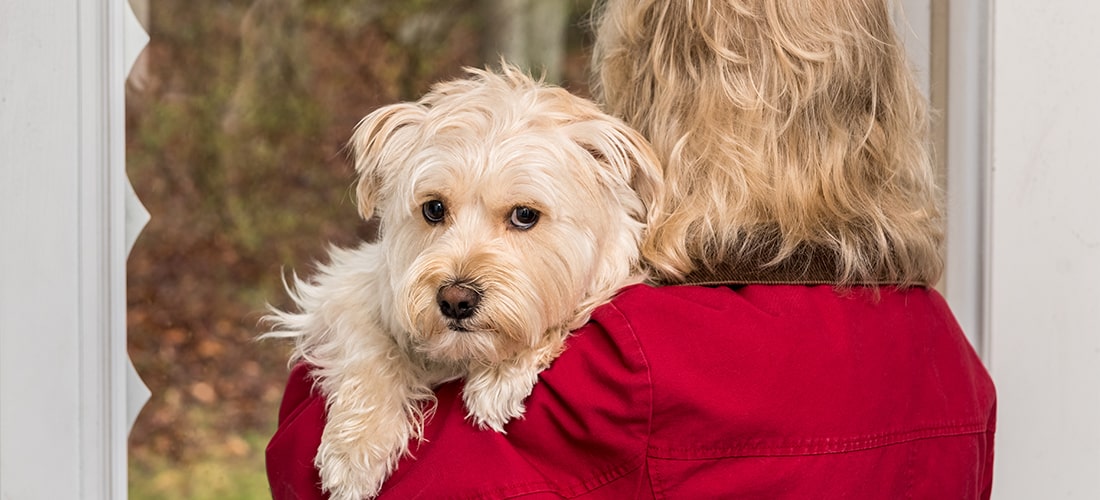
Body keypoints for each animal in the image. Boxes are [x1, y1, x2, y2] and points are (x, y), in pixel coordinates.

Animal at [264, 66, 660, 500]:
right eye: (434, 208)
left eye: (525, 215)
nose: (455, 300)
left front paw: (503, 373)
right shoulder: (344, 286)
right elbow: (369, 347)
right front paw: (355, 447)